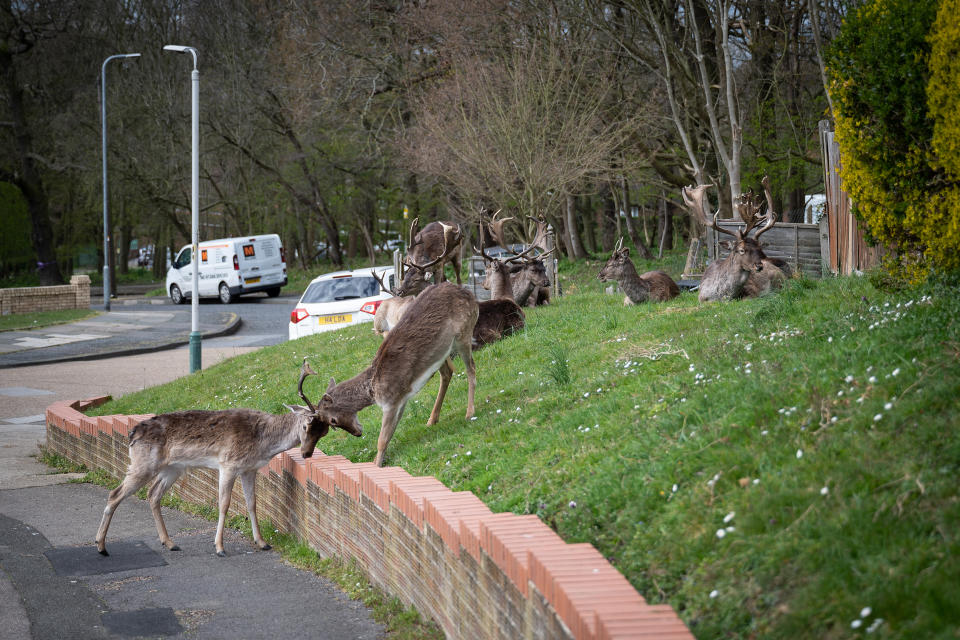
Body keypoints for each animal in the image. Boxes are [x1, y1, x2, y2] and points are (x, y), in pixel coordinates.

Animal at [94, 362, 360, 556]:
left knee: (153, 494)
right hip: (143, 463)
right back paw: (101, 545)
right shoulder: (228, 464)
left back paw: (169, 543)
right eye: (306, 426)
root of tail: (132, 433)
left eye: (324, 432)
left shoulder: (249, 469)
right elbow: (224, 504)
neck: (262, 441)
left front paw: (262, 542)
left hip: (173, 468)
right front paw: (220, 547)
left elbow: (252, 503)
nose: (306, 453)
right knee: (115, 493)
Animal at [316, 282, 480, 468]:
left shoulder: (391, 401)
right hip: (443, 352)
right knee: (448, 372)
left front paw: (377, 465)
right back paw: (432, 419)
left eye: (332, 421)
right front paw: (376, 461)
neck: (373, 389)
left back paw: (469, 412)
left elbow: (381, 440)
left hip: (464, 334)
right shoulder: (402, 398)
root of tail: (471, 294)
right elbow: (390, 434)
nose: (357, 433)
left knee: (471, 368)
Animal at [680, 176, 784, 304]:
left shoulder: (752, 293)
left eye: (759, 248)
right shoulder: (701, 298)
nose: (759, 266)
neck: (722, 295)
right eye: (741, 250)